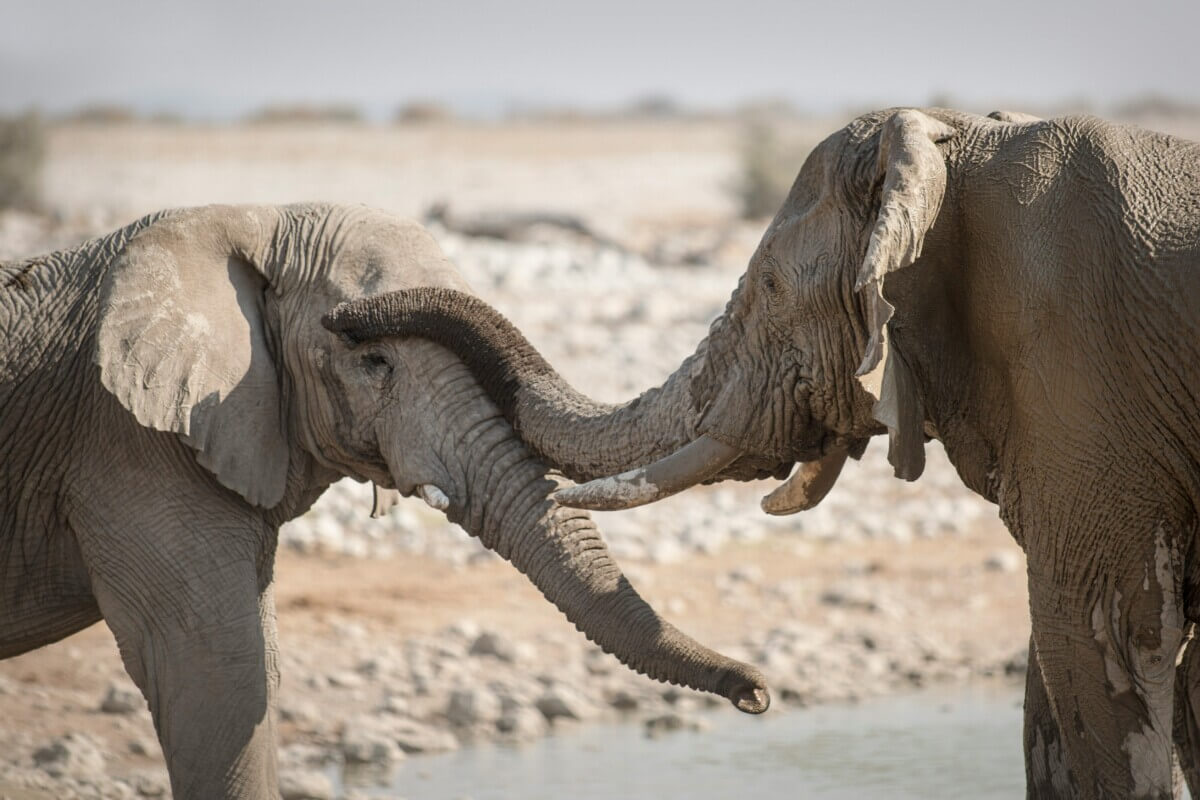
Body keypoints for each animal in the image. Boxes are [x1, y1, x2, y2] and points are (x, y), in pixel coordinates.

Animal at [0, 203, 770, 800]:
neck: (252, 217)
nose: (758, 694)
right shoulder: (126, 442)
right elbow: (218, 669)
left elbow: (248, 669)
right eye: (374, 363)